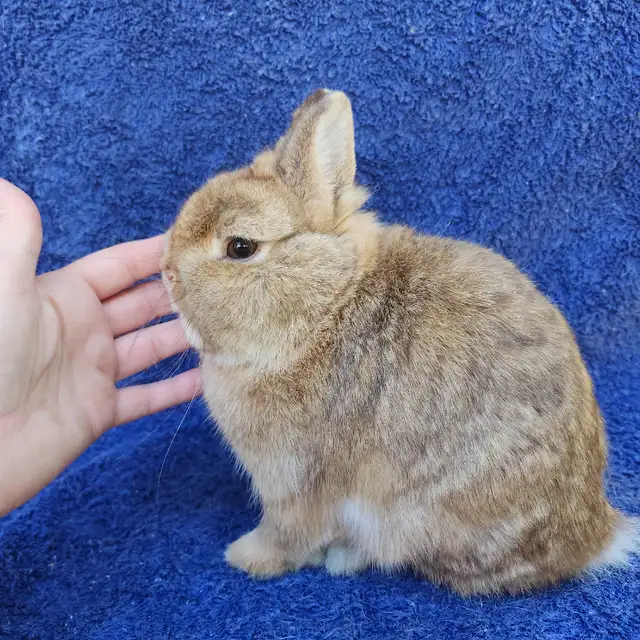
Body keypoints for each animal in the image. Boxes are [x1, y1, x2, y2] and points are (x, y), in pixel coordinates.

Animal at [162, 89, 639, 594]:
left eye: (240, 247)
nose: (166, 272)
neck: (323, 312)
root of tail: (593, 538)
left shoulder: (296, 482)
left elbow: (289, 535)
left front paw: (245, 556)